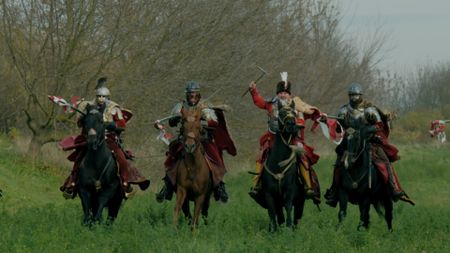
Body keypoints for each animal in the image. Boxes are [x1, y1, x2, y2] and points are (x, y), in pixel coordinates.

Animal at [260, 102, 306, 232]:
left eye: (294, 113)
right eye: (281, 113)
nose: (291, 125)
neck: (278, 165)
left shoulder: (289, 192)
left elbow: (289, 209)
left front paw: (288, 229)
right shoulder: (269, 195)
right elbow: (272, 214)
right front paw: (273, 231)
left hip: (300, 201)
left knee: (296, 217)